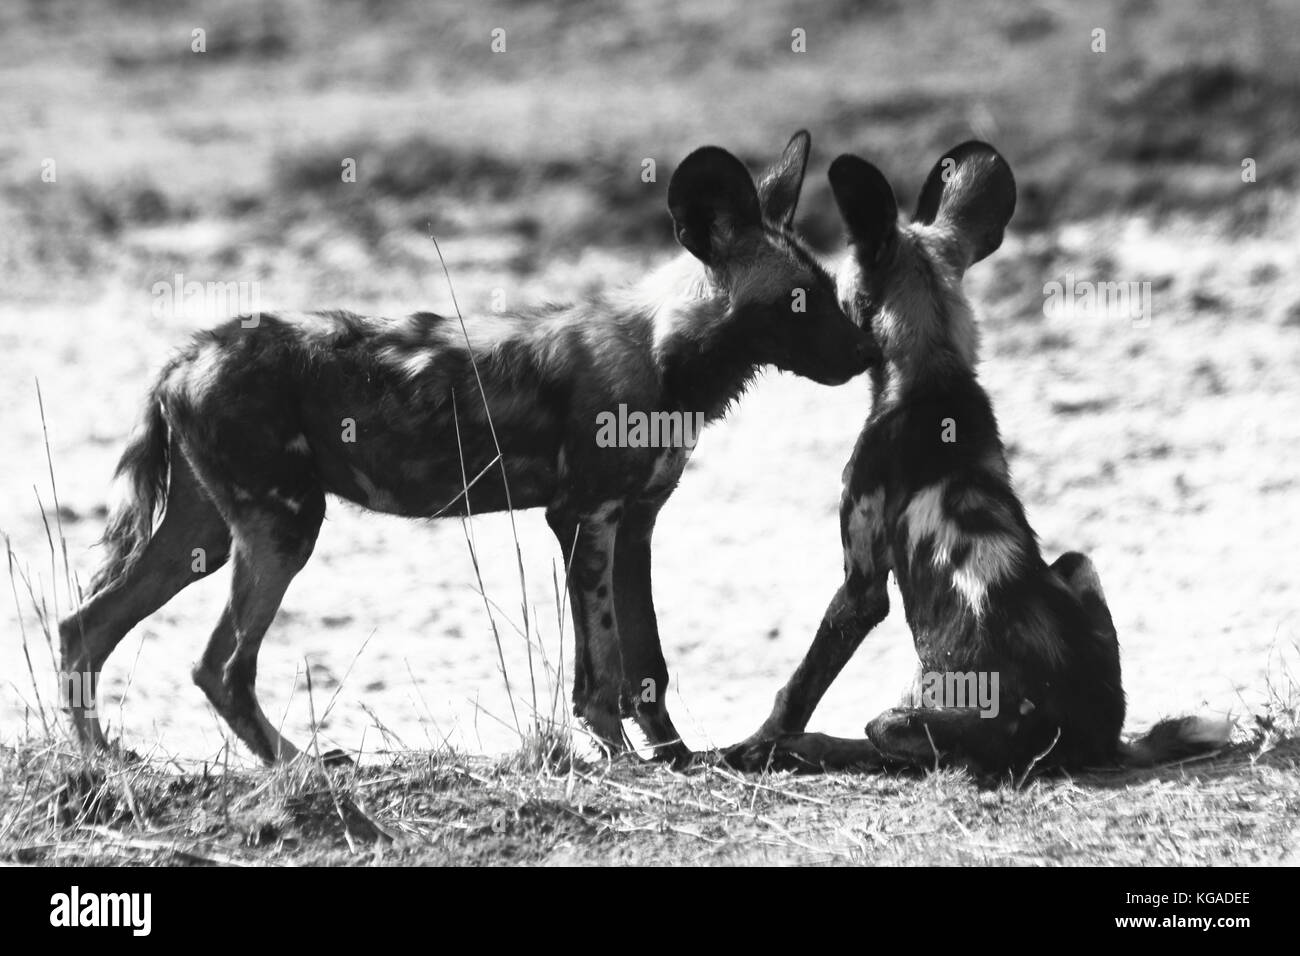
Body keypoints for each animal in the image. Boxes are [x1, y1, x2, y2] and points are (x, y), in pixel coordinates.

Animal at [58, 128, 873, 770]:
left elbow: (648, 665)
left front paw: (676, 757)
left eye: (825, 290)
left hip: (208, 538)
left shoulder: (634, 522)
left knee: (86, 628)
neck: (665, 350)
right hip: (283, 531)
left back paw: (105, 760)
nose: (867, 348)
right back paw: (300, 767)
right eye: (800, 303)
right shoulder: (586, 519)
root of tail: (191, 352)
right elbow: (602, 674)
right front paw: (619, 760)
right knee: (220, 666)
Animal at [733, 141, 1227, 780]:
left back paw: (806, 748)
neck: (932, 372)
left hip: (897, 721)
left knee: (884, 743)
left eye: (836, 288)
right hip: (1076, 567)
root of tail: (1097, 742)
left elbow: (798, 687)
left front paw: (753, 744)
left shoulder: (861, 587)